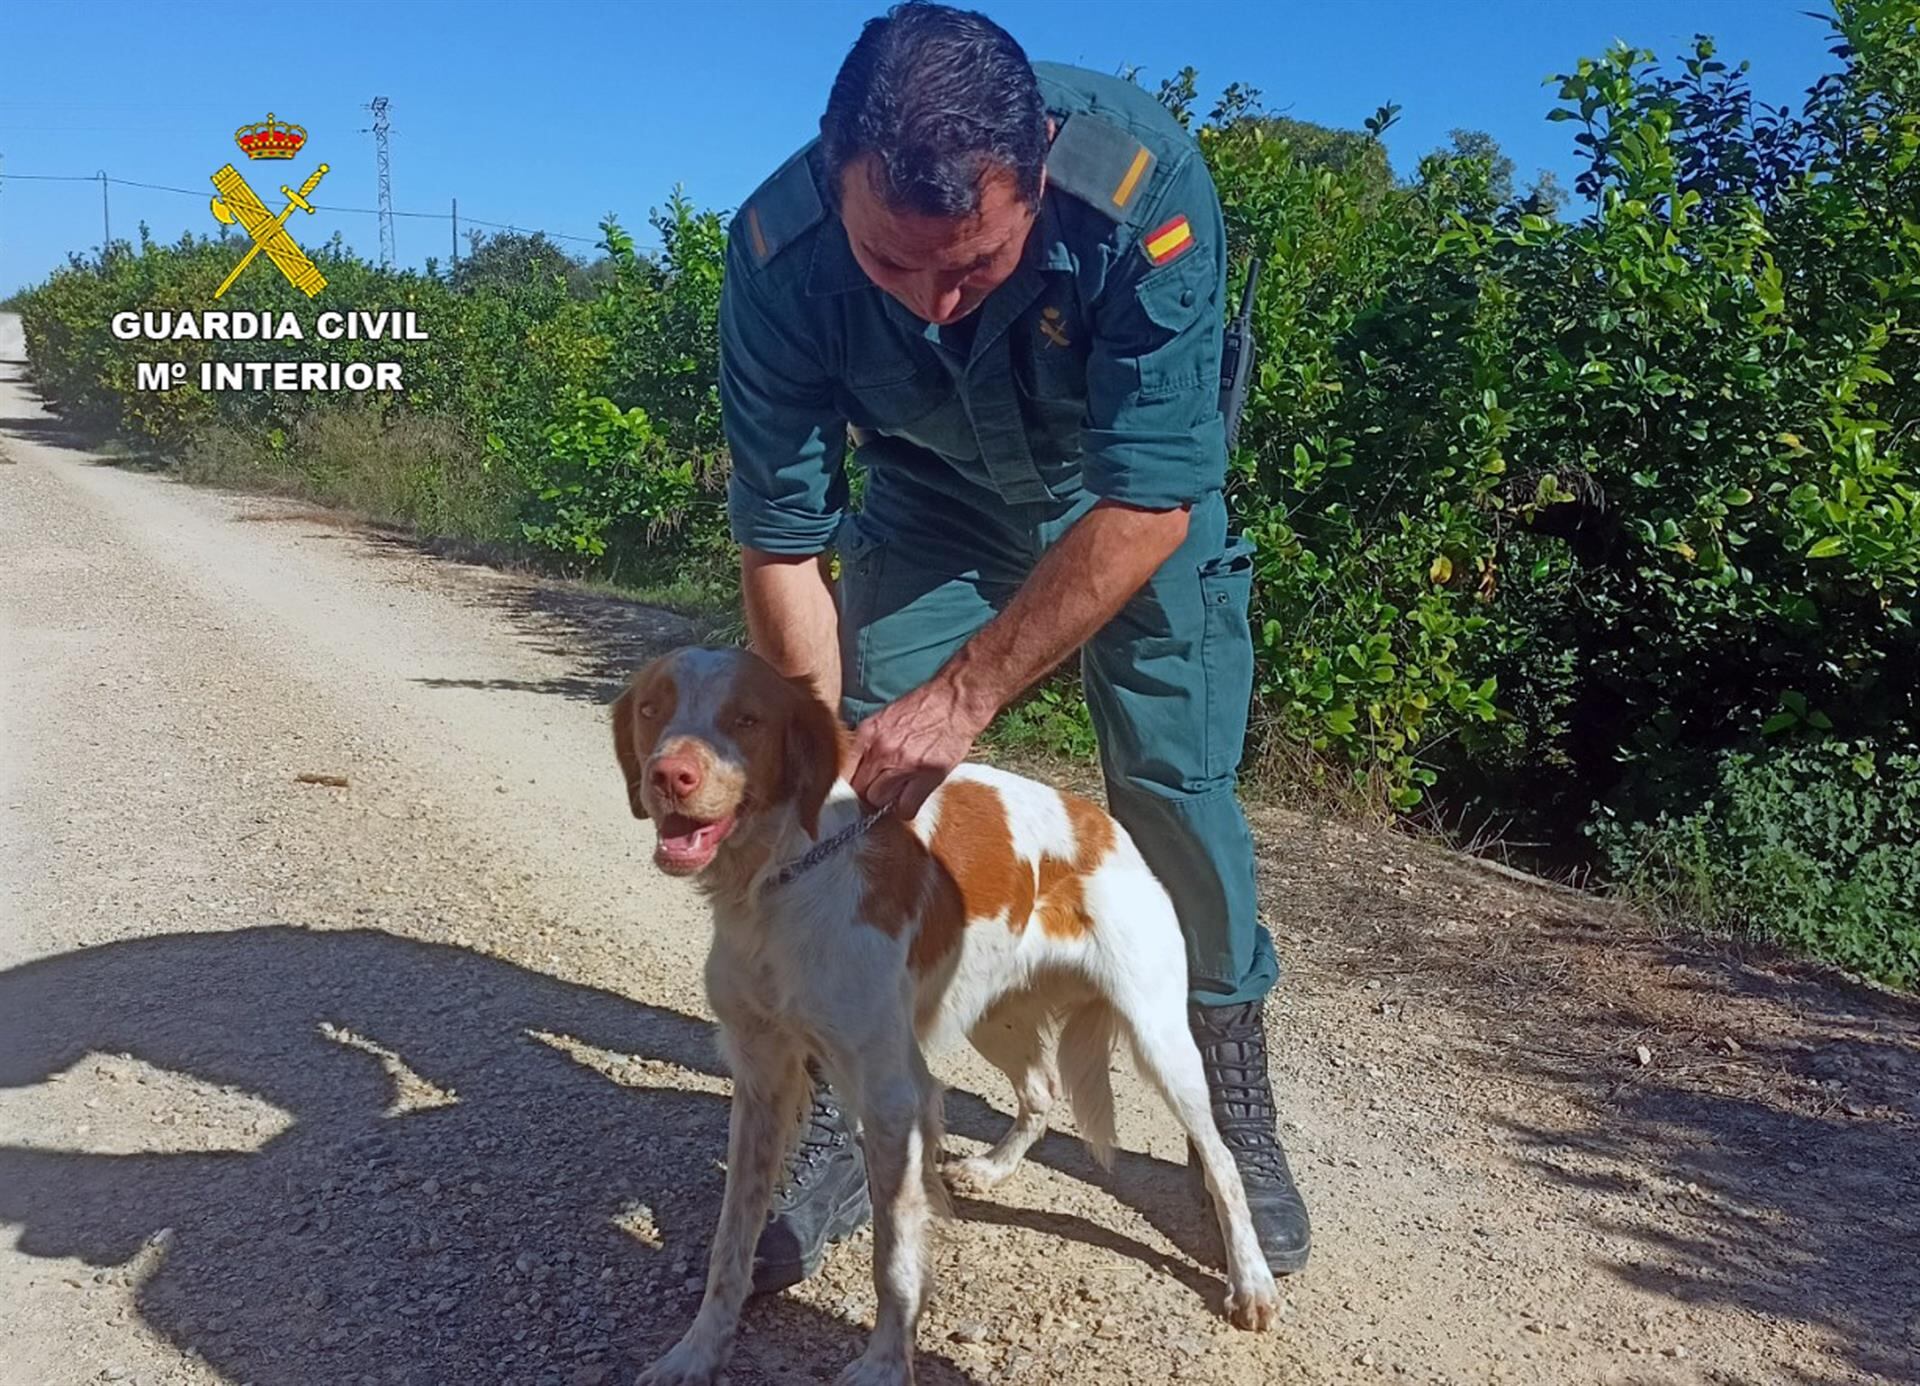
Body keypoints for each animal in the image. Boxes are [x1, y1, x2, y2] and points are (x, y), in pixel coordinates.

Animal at [614, 648, 1274, 1382]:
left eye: (747, 719)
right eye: (653, 709)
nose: (670, 775)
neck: (780, 878)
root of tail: (1100, 821)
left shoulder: (890, 1093)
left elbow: (895, 1255)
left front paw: (883, 1364)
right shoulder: (761, 1074)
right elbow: (732, 1242)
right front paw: (697, 1350)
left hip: (1158, 1034)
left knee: (1220, 1159)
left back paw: (1252, 1281)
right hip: (993, 1013)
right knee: (1042, 1090)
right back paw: (992, 1169)